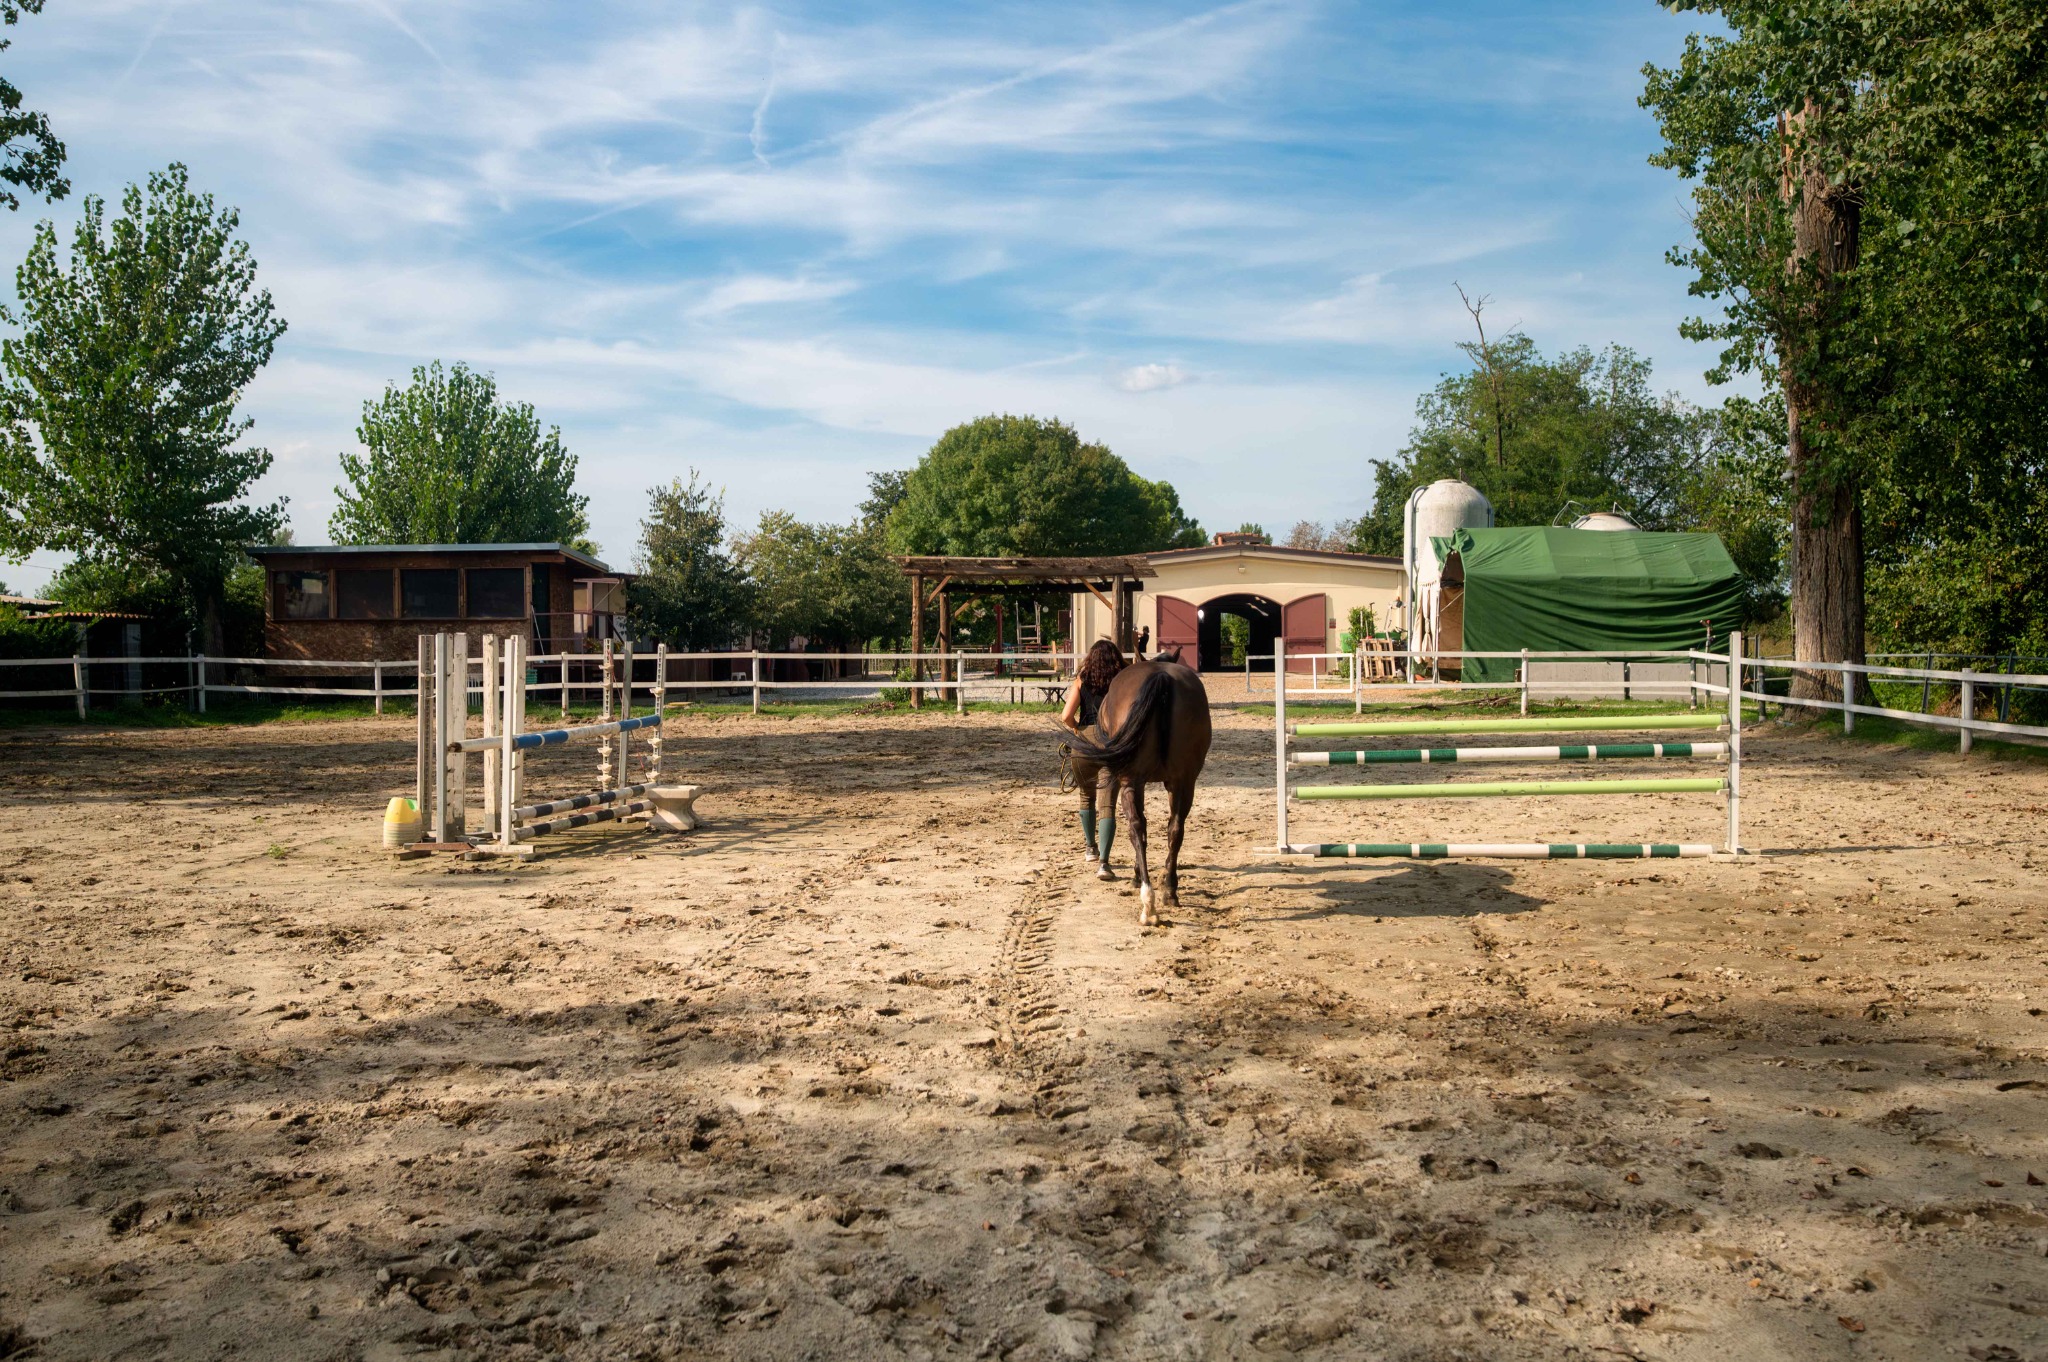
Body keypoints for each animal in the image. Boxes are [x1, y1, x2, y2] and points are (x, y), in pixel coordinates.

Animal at [1062, 656, 1212, 926]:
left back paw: (1147, 899)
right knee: (1175, 829)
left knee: (1137, 827)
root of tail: (1163, 677)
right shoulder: (1173, 783)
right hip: (1185, 782)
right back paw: (1169, 890)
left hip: (1131, 780)